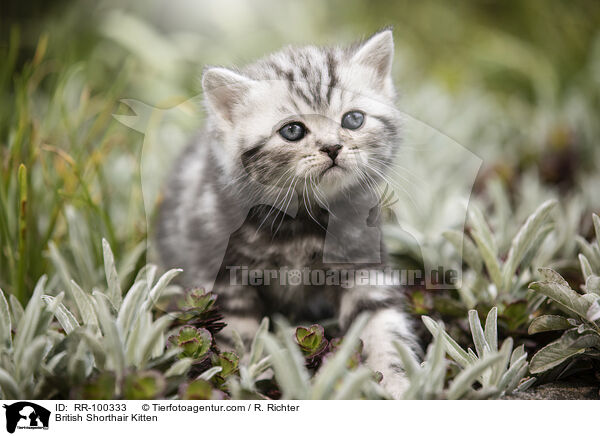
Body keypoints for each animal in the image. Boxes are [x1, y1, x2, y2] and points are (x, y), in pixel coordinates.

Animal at [157, 29, 420, 398]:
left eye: (353, 119)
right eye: (292, 131)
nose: (333, 147)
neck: (301, 223)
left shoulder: (363, 262)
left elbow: (383, 324)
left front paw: (397, 381)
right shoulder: (223, 277)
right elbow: (239, 335)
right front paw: (247, 382)